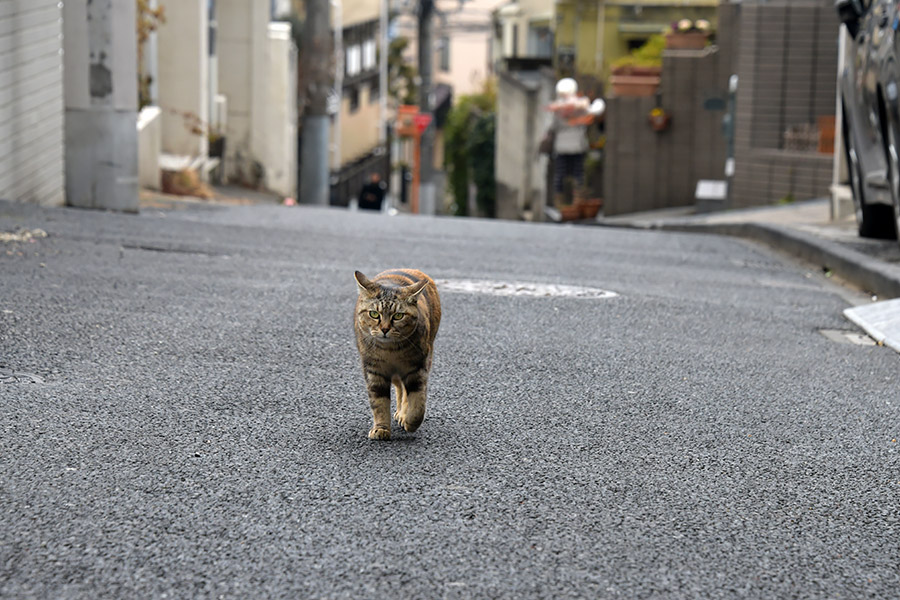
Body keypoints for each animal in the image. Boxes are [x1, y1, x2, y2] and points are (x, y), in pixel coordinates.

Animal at [354, 270, 442, 438]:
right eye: (374, 314)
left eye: (398, 316)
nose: (384, 329)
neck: (390, 351)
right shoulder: (374, 370)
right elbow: (379, 402)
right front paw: (381, 428)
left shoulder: (417, 367)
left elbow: (417, 401)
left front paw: (411, 421)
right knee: (400, 387)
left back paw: (403, 414)